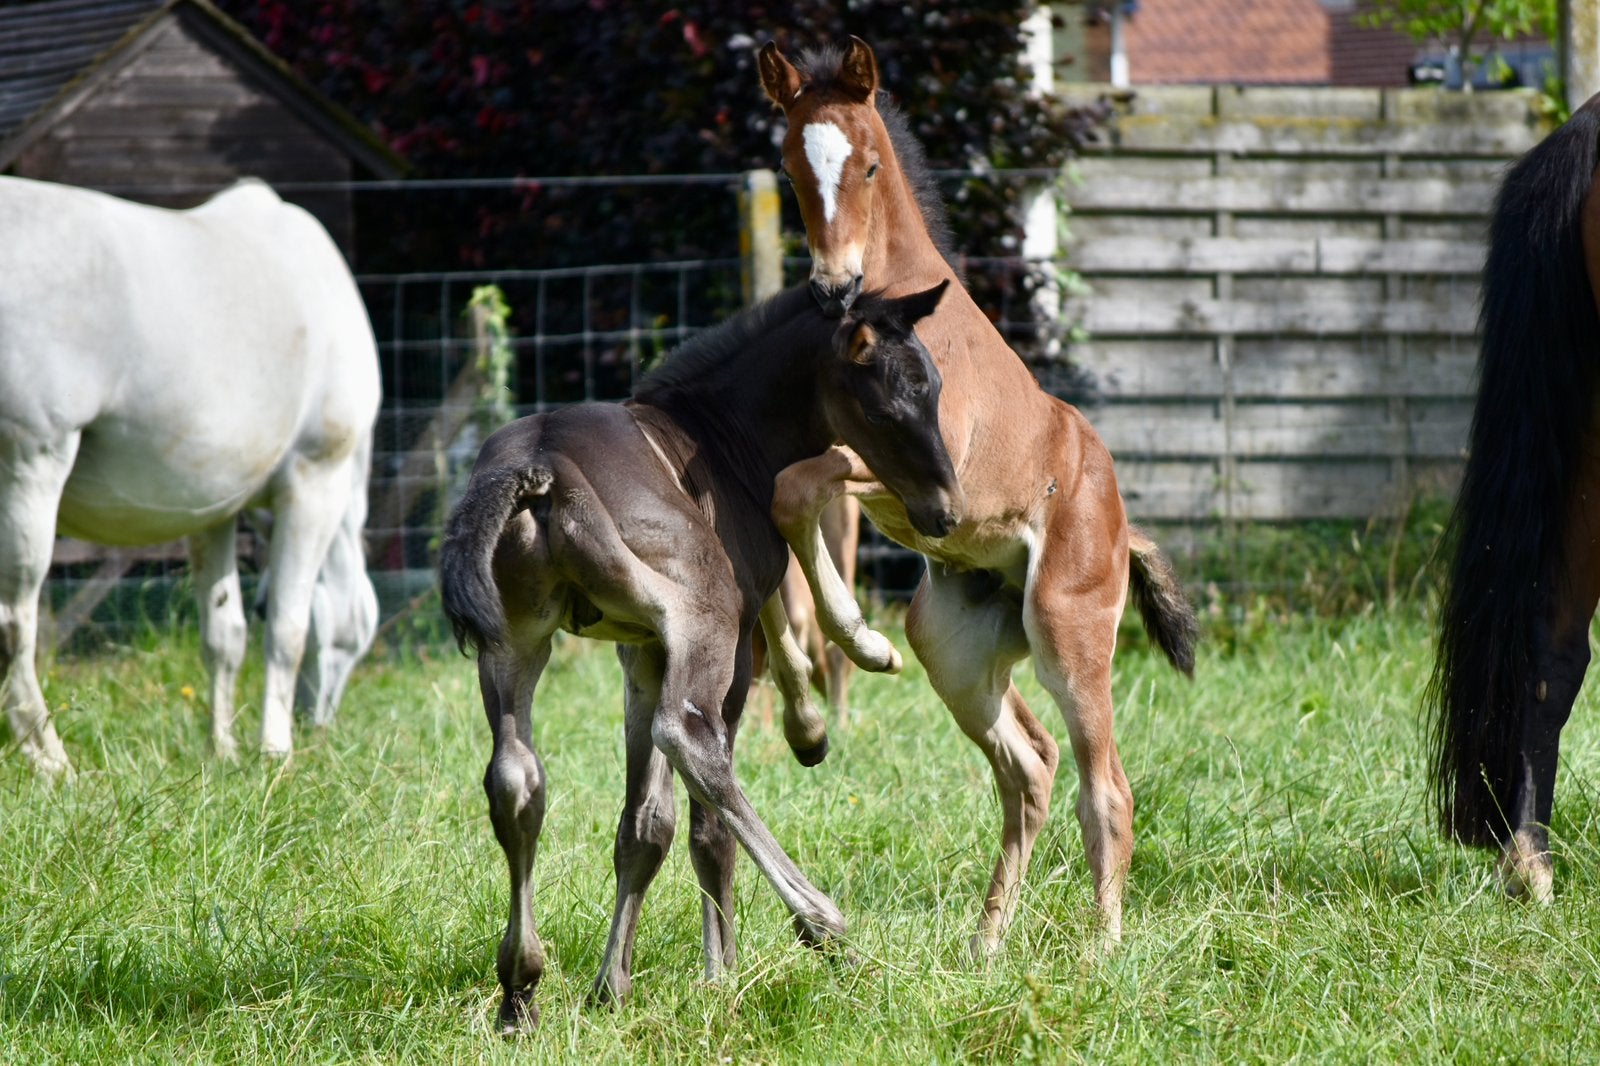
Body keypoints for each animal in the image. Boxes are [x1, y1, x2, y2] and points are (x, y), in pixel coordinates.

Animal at [0, 176, 381, 773]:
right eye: (360, 638)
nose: (315, 723)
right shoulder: (315, 483)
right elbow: (288, 630)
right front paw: (276, 751)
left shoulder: (214, 512)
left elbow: (225, 634)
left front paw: (222, 749)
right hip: (31, 463)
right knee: (16, 621)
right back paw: (49, 757)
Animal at [438, 281, 960, 1031]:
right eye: (887, 405)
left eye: (936, 389)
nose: (945, 512)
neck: (723, 439)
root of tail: (543, 467)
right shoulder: (715, 642)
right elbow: (706, 824)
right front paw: (722, 976)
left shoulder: (640, 653)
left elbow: (644, 826)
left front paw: (612, 985)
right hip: (701, 622)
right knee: (692, 741)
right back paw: (827, 928)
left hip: (514, 641)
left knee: (516, 778)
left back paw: (519, 989)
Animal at [756, 38, 1198, 949]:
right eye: (790, 165)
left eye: (868, 163)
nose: (832, 287)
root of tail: (1121, 524)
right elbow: (781, 512)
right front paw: (809, 710)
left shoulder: (919, 462)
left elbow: (797, 490)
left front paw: (855, 642)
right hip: (955, 647)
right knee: (1031, 766)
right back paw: (989, 944)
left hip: (1068, 630)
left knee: (1106, 788)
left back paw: (1103, 951)